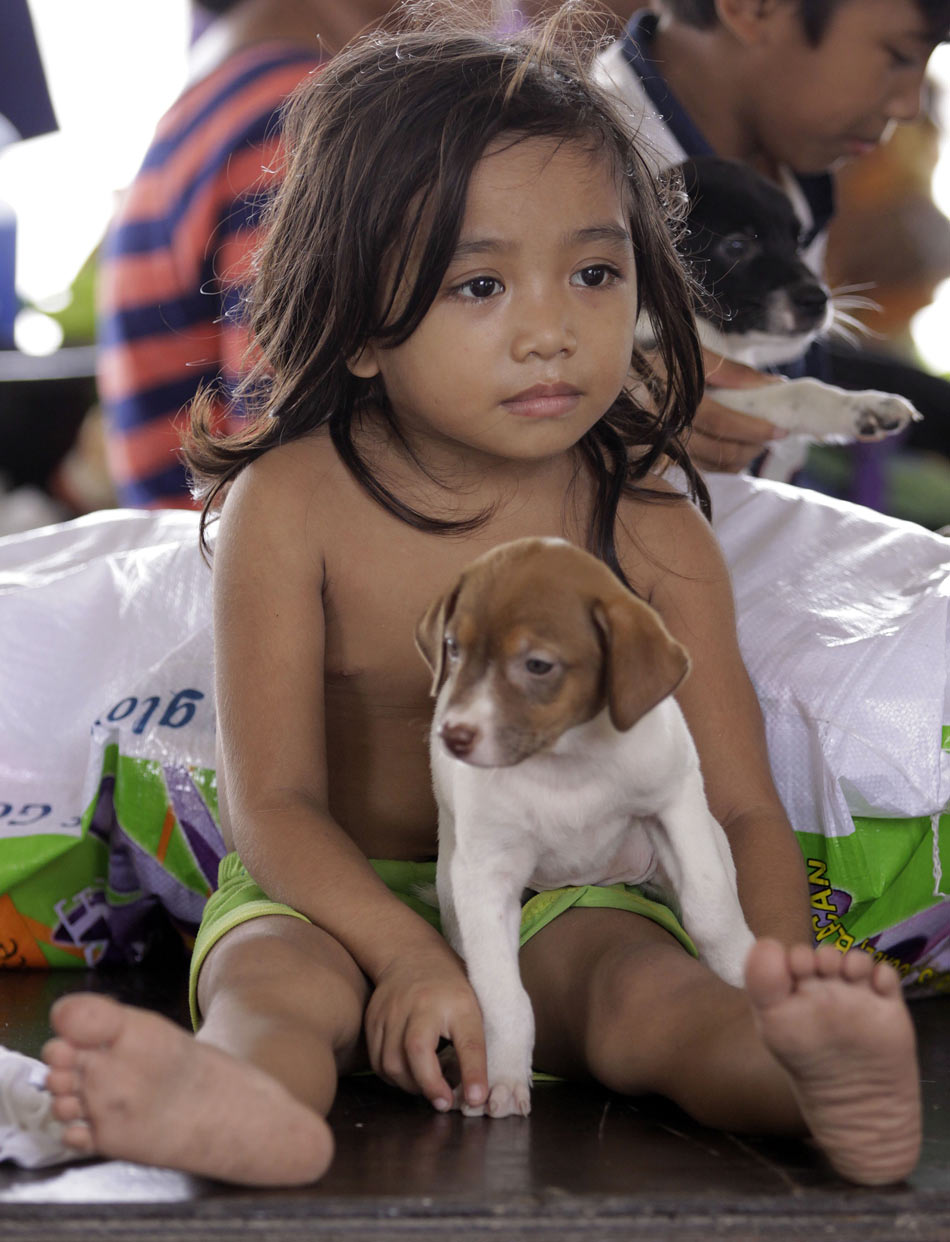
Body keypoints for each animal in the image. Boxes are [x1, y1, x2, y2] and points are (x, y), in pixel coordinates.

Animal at [414, 539, 755, 1122]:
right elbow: (501, 992)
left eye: (537, 665)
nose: (451, 736)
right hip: (457, 894)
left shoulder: (675, 803)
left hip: (701, 840)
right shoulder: (487, 873)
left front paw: (744, 982)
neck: (566, 762)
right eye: (453, 649)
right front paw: (503, 1076)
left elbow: (711, 913)